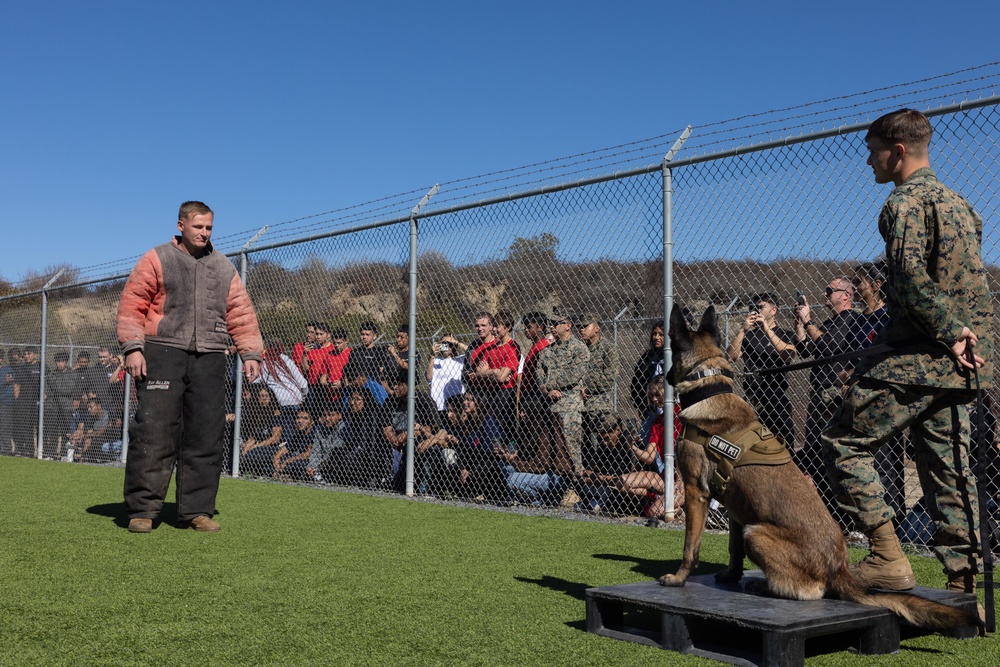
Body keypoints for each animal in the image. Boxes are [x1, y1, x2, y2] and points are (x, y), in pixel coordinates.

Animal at [660, 302, 980, 632]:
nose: (666, 376)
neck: (708, 387)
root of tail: (837, 570)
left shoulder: (696, 493)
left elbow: (690, 547)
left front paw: (678, 579)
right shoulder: (735, 507)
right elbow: (733, 551)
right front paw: (730, 576)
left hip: (756, 532)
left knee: (807, 592)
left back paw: (763, 586)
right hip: (751, 524)